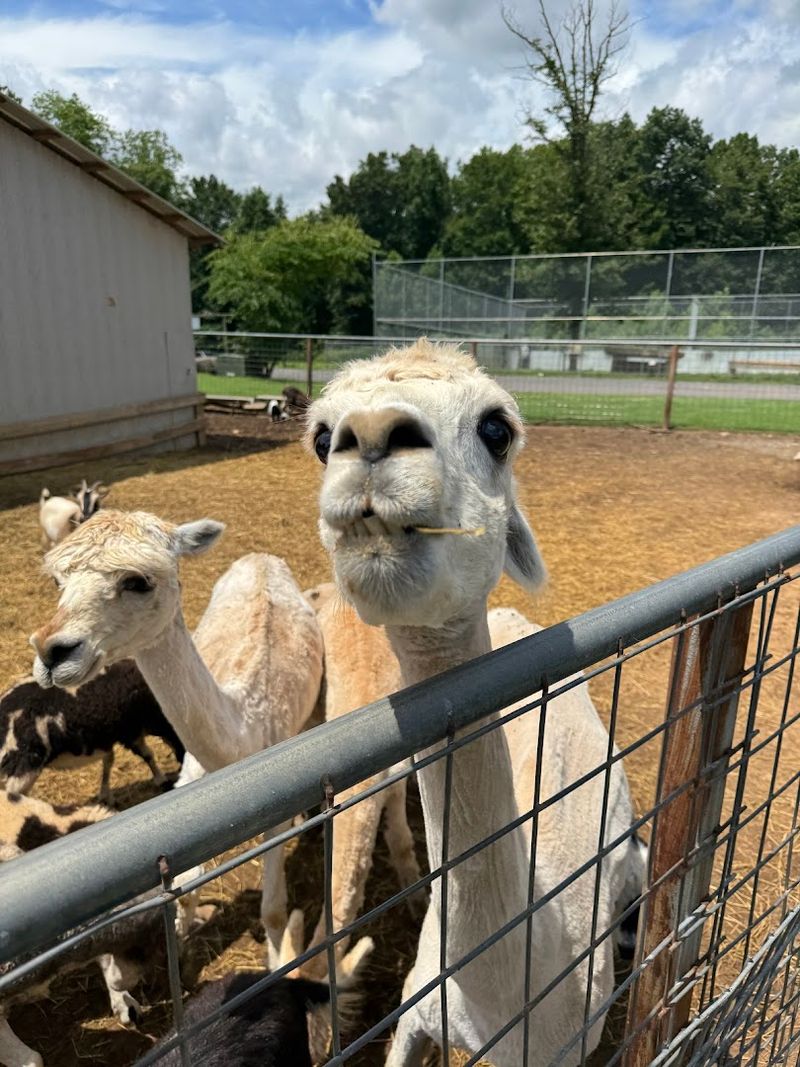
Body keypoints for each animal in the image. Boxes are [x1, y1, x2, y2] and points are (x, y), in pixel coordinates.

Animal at [29, 510, 324, 968]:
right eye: (59, 582)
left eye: (137, 580)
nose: (50, 652)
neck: (245, 735)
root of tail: (260, 557)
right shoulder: (189, 788)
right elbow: (183, 890)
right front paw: (183, 942)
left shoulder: (276, 807)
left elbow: (274, 911)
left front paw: (279, 962)